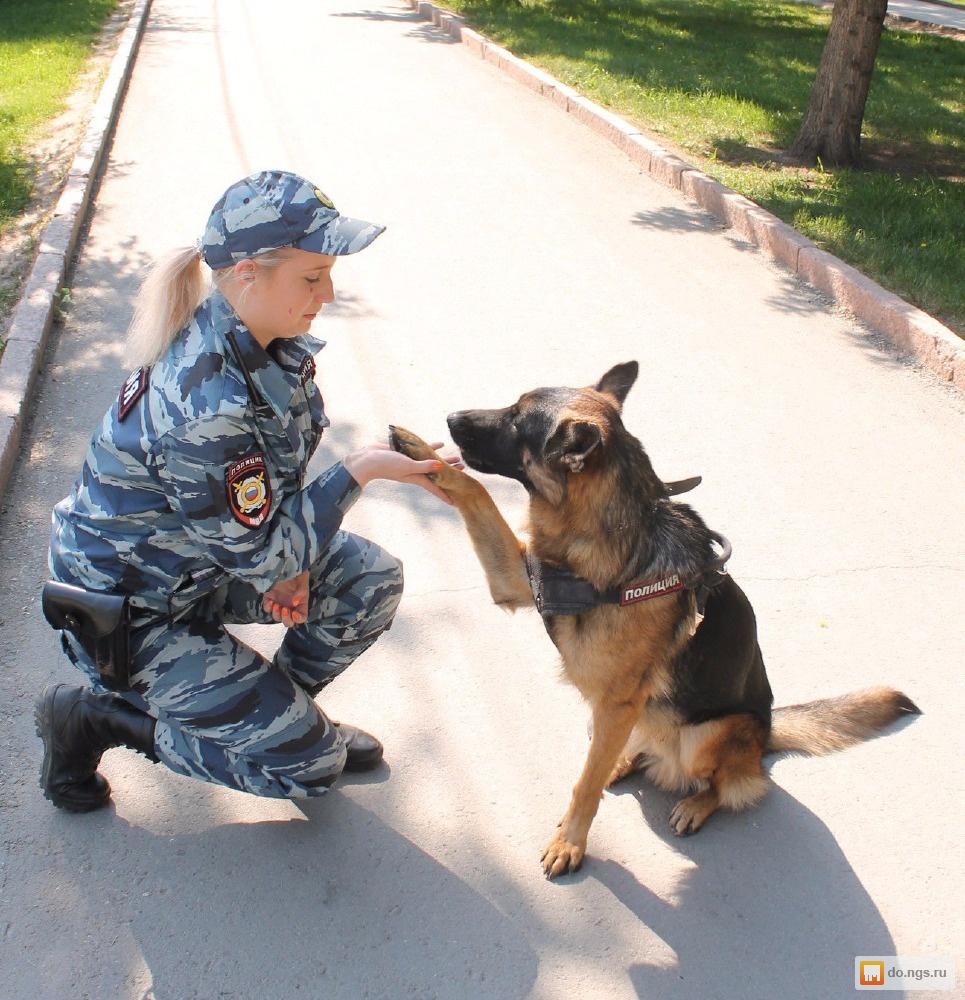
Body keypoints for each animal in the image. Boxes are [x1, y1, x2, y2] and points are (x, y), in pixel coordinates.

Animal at [390, 364, 920, 880]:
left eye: (518, 420)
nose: (451, 418)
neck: (609, 541)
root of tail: (765, 734)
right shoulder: (517, 582)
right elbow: (475, 490)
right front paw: (417, 450)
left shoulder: (619, 700)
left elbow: (584, 787)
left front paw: (570, 843)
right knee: (637, 751)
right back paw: (625, 761)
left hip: (705, 733)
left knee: (732, 783)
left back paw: (695, 802)